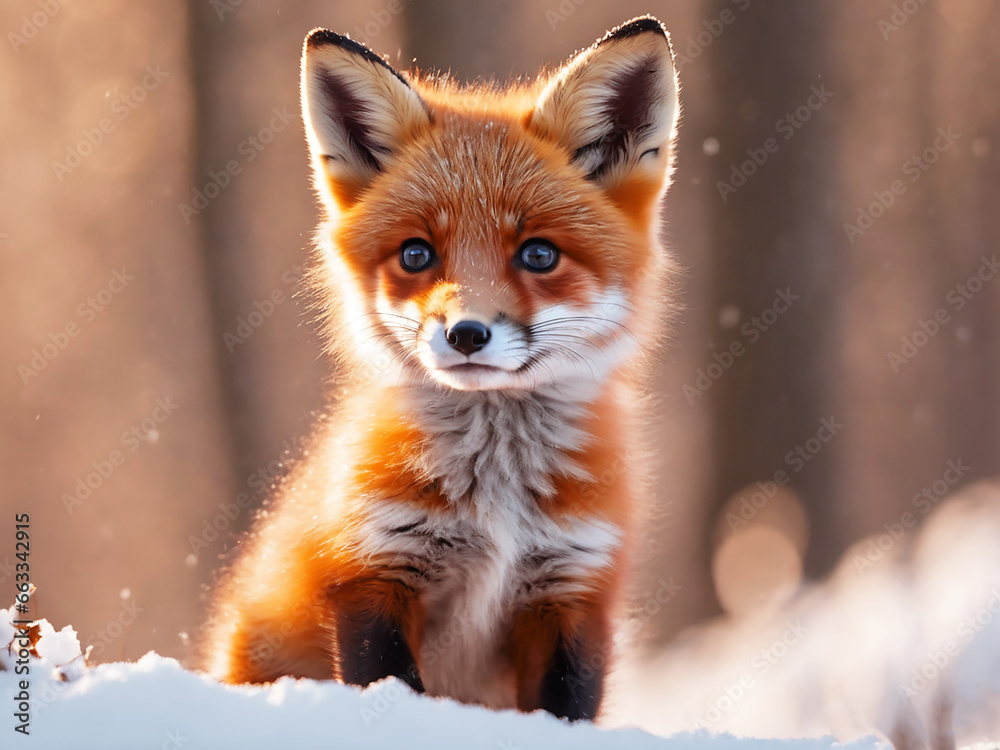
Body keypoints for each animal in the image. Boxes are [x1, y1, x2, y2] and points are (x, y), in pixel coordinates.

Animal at [201, 16, 680, 722]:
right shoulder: (372, 572)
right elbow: (389, 687)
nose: (466, 334)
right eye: (416, 254)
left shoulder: (574, 589)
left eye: (539, 254)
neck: (497, 503)